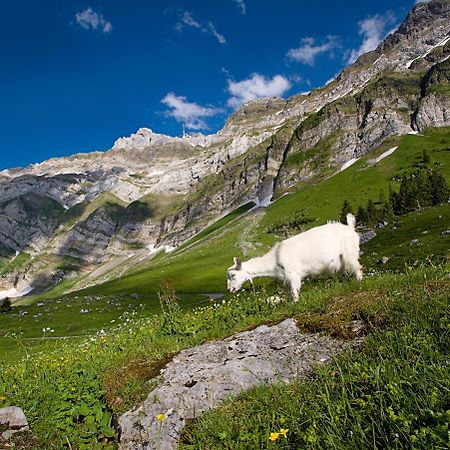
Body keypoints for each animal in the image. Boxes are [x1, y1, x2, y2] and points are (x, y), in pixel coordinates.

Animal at [227, 213, 364, 300]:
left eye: (233, 275)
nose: (230, 290)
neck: (274, 260)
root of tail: (349, 227)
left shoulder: (293, 275)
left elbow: (294, 293)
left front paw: (296, 304)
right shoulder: (286, 279)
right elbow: (289, 294)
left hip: (349, 252)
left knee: (357, 268)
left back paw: (359, 282)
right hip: (339, 261)